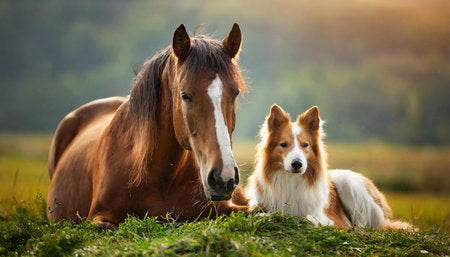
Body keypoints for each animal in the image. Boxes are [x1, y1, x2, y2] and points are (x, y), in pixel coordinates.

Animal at [246, 104, 414, 230]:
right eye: (283, 144)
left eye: (305, 145)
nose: (297, 164)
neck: (291, 180)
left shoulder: (333, 220)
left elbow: (308, 217)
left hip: (348, 182)